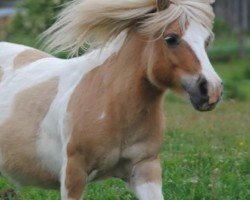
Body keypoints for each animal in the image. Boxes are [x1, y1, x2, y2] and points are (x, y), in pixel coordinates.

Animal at [0, 0, 223, 199]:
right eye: (171, 38)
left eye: (207, 40)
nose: (212, 90)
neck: (112, 103)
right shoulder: (74, 174)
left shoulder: (145, 170)